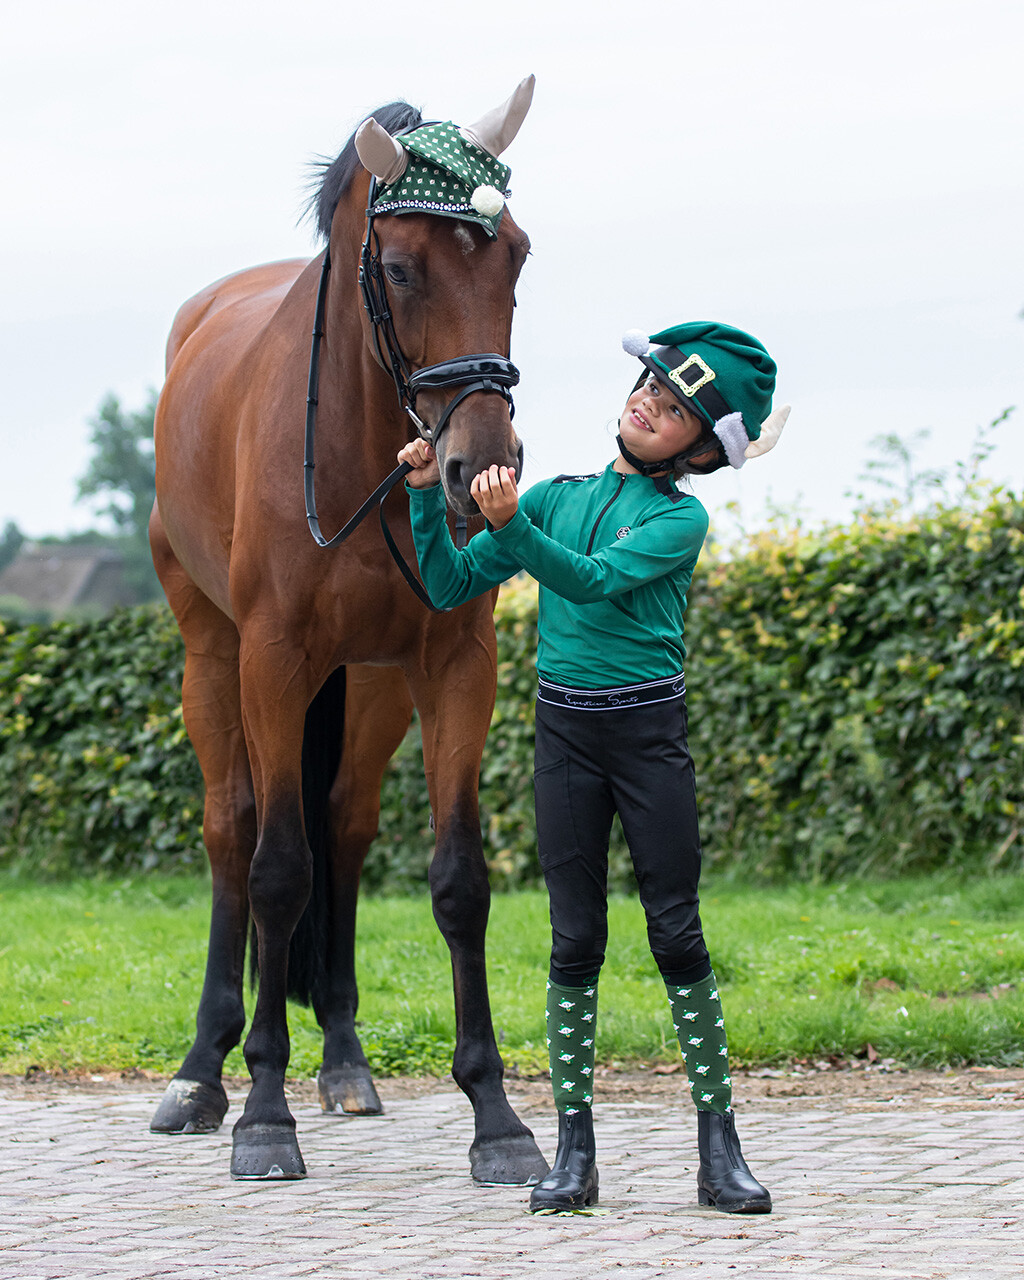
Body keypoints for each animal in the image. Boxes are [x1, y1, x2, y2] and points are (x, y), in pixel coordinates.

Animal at [145, 74, 547, 1182]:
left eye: (515, 254)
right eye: (401, 267)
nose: (478, 470)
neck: (357, 440)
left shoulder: (456, 665)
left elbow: (457, 880)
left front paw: (498, 1119)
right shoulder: (276, 661)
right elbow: (277, 870)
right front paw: (262, 1116)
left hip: (366, 687)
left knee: (344, 824)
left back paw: (343, 1060)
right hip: (215, 660)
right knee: (234, 831)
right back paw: (202, 1073)